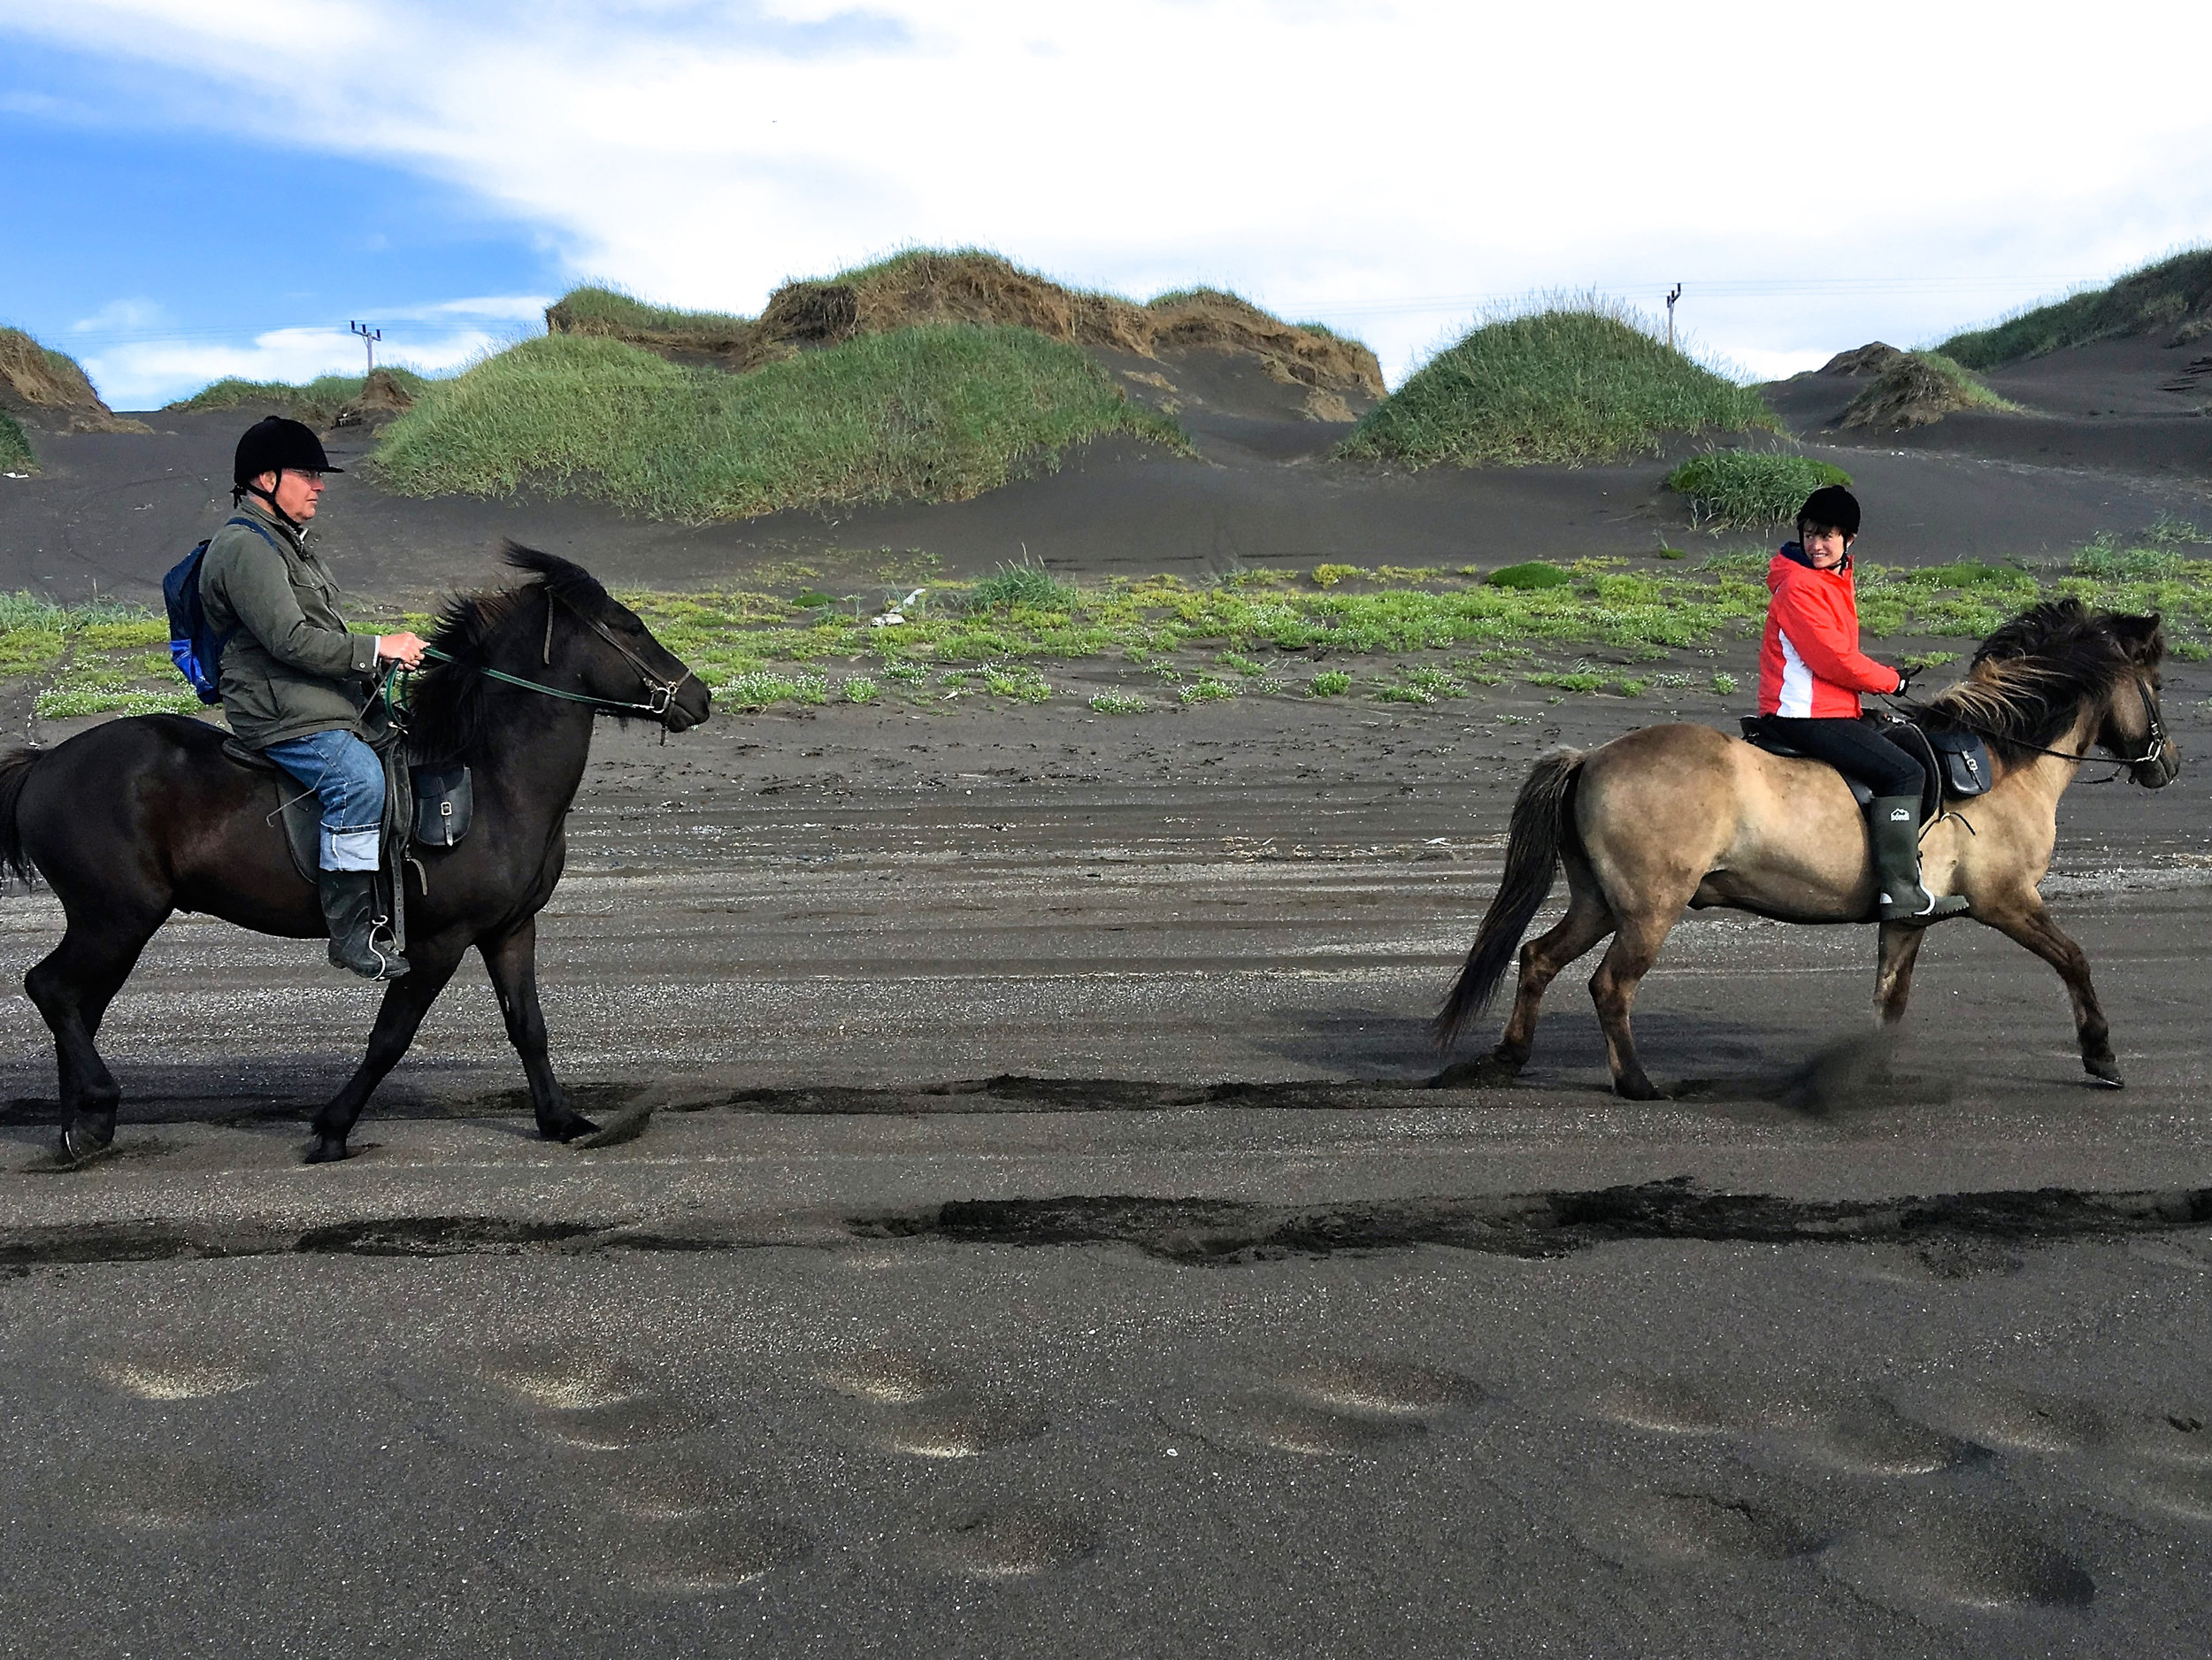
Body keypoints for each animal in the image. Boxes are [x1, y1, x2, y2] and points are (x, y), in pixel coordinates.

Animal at [0, 549, 708, 1168]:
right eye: (630, 626)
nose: (699, 697)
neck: (489, 779)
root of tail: (46, 763)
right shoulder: (437, 942)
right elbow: (389, 1038)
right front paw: (333, 1129)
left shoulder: (510, 930)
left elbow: (528, 1026)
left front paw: (561, 1121)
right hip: (116, 919)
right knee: (52, 990)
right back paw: (96, 1107)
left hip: (113, 928)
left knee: (76, 1005)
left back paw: (80, 1131)